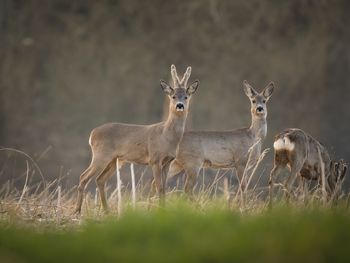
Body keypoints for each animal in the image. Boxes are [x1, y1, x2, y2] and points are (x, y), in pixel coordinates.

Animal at [74, 64, 200, 214]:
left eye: (186, 96)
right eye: (173, 96)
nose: (179, 105)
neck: (166, 136)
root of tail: (92, 134)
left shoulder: (167, 161)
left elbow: (163, 188)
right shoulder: (155, 159)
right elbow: (159, 187)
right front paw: (160, 211)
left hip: (114, 159)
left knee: (100, 180)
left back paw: (107, 211)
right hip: (101, 154)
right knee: (84, 177)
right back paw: (77, 211)